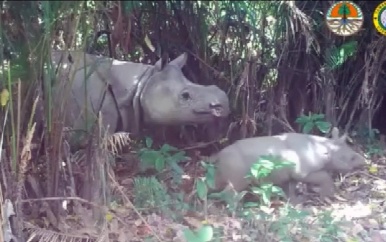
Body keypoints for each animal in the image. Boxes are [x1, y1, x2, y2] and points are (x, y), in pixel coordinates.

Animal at [211, 127, 364, 203]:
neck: (327, 148)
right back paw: (235, 207)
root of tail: (218, 155)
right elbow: (324, 176)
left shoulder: (291, 172)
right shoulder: (303, 172)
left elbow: (290, 187)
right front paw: (327, 197)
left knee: (217, 182)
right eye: (351, 158)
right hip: (236, 164)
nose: (363, 162)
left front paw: (296, 201)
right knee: (237, 184)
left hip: (226, 163)